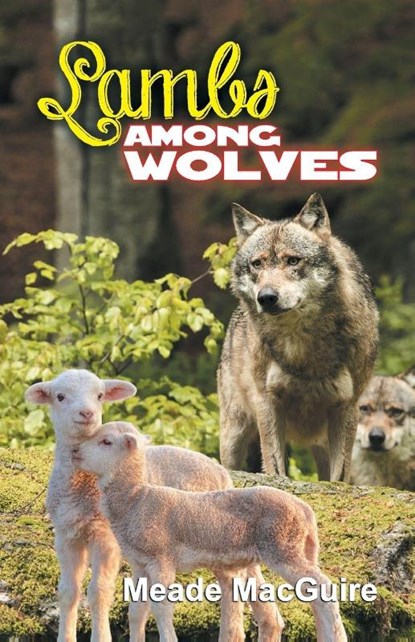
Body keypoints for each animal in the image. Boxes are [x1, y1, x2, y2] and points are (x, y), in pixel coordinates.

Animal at [25, 370, 281, 642]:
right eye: (60, 396)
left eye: (100, 395)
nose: (87, 413)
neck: (81, 488)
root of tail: (221, 471)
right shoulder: (66, 534)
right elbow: (68, 592)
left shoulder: (106, 538)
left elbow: (99, 593)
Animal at [73, 421, 348, 642]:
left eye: (106, 441)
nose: (74, 451)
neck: (135, 498)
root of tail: (305, 509)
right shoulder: (139, 564)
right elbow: (136, 611)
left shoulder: (162, 559)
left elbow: (161, 608)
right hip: (292, 550)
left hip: (282, 547)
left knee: (324, 589)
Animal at [218, 193, 379, 482]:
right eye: (257, 264)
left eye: (292, 261)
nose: (267, 297)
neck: (303, 345)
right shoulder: (267, 402)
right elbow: (275, 467)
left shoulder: (347, 406)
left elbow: (339, 476)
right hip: (234, 436)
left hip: (321, 442)